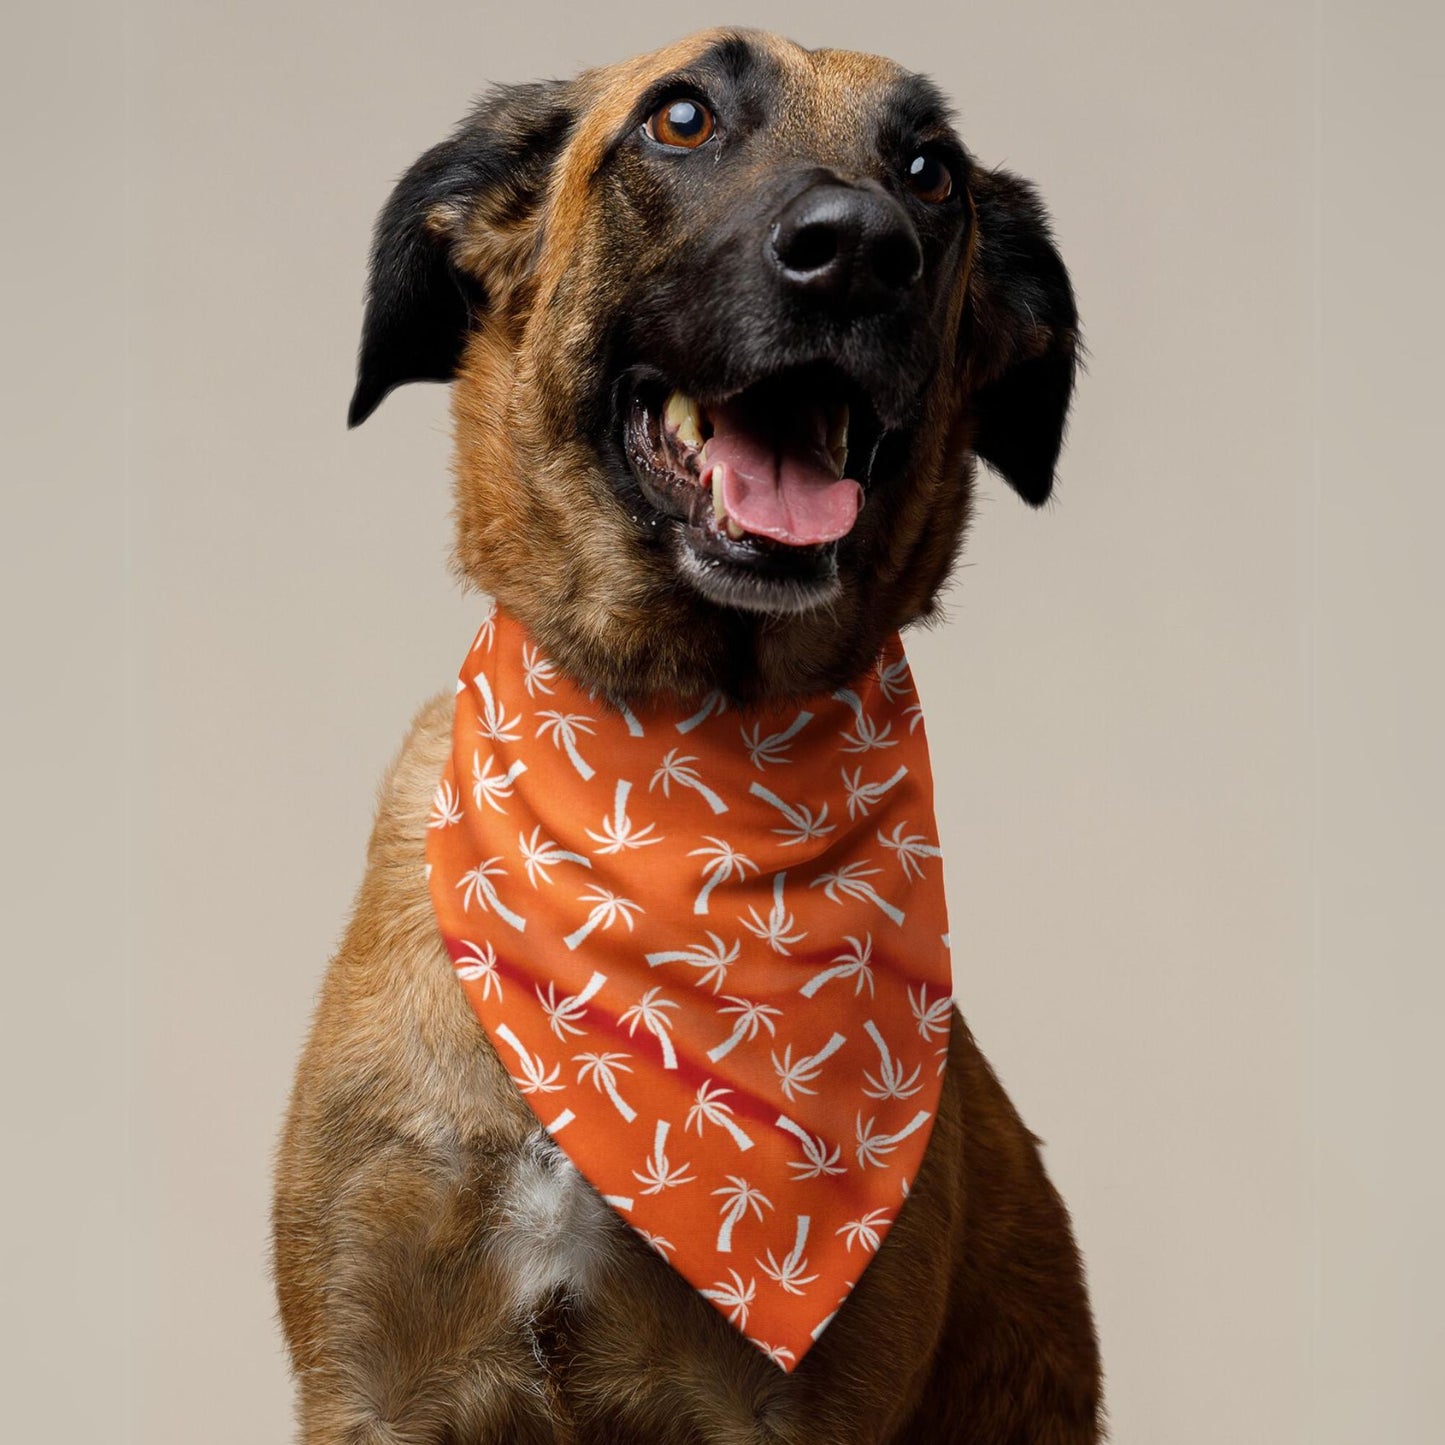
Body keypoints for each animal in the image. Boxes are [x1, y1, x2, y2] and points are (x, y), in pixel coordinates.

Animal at [275, 25, 1098, 1445]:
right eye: (680, 117)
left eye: (930, 172)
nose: (859, 246)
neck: (674, 764)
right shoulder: (371, 1377)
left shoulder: (784, 1410)